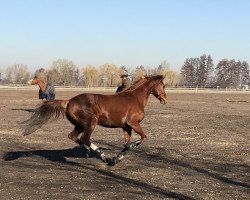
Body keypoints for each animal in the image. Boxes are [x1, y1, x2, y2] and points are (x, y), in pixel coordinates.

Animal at [21, 75, 166, 166]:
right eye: (163, 85)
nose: (165, 99)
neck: (135, 98)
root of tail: (69, 101)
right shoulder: (134, 124)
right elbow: (142, 138)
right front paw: (114, 157)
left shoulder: (126, 127)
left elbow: (126, 143)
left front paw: (116, 158)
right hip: (91, 123)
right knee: (84, 138)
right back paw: (100, 154)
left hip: (79, 125)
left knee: (73, 136)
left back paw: (89, 151)